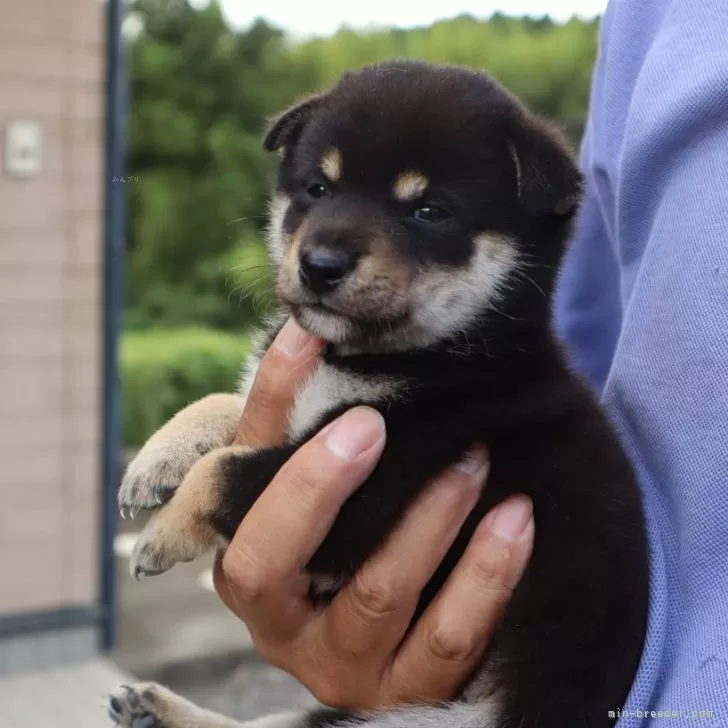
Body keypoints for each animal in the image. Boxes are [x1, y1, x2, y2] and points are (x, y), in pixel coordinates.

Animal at [109, 61, 648, 728]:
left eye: (429, 211)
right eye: (318, 189)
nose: (319, 264)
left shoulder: (381, 481)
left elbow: (224, 472)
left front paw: (162, 532)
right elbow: (229, 402)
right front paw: (160, 455)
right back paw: (155, 709)